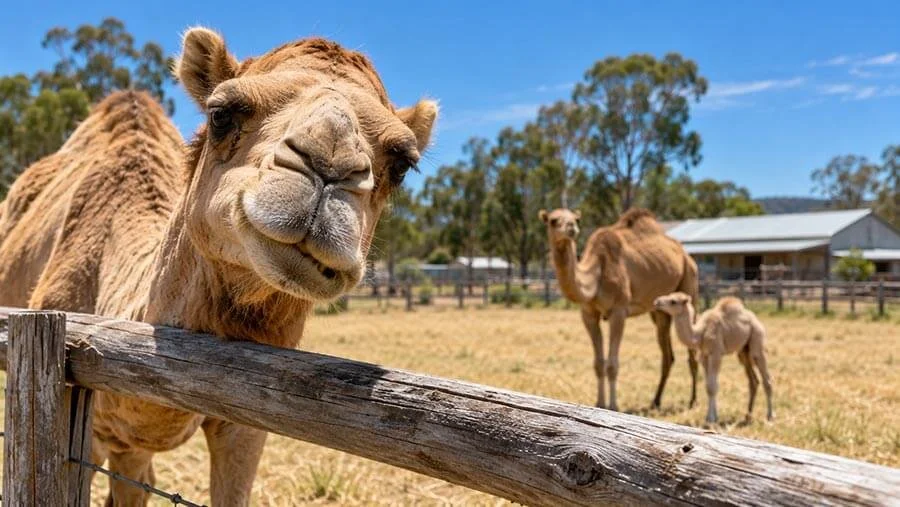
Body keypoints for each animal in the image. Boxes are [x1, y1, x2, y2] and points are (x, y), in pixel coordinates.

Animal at [539, 208, 699, 411]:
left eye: (576, 219)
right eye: (553, 220)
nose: (571, 228)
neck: (597, 274)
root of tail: (686, 255)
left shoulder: (619, 311)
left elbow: (612, 364)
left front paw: (613, 406)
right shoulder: (588, 314)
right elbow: (599, 363)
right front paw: (599, 403)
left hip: (689, 283)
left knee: (692, 351)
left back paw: (693, 401)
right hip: (660, 310)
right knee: (667, 355)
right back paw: (655, 401)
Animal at [654, 293, 774, 424]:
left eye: (673, 301)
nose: (657, 302)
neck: (700, 333)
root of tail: (755, 318)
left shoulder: (716, 354)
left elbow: (712, 386)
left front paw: (711, 418)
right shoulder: (704, 356)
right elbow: (709, 386)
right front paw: (713, 416)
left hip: (757, 338)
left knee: (766, 378)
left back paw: (770, 416)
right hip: (743, 352)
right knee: (753, 381)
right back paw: (748, 416)